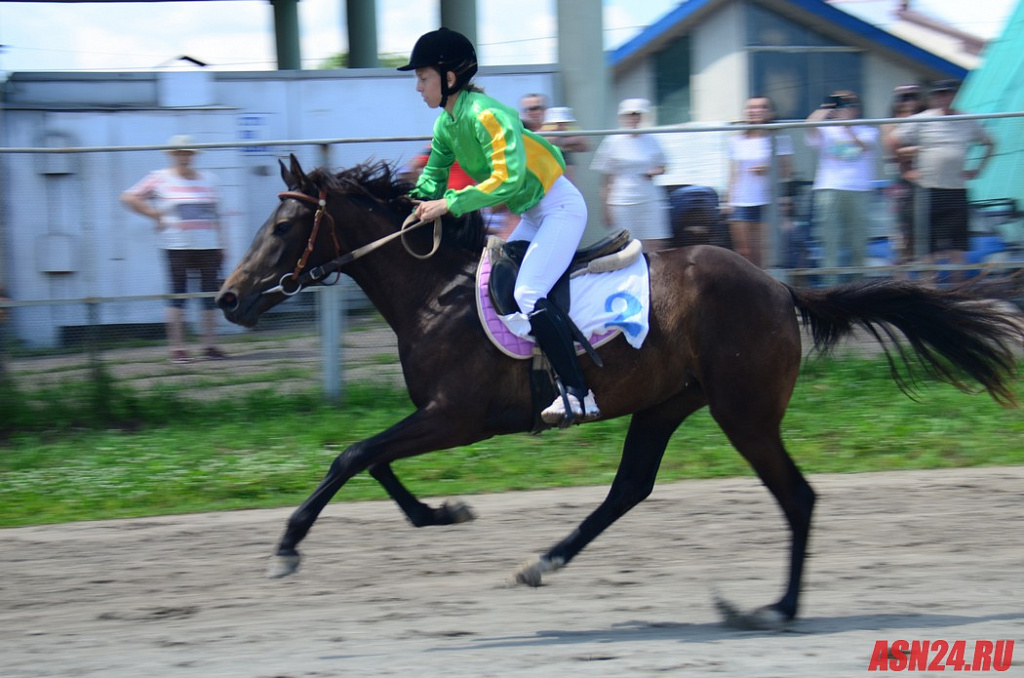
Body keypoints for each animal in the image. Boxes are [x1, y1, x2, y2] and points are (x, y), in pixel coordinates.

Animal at [214, 156, 1015, 630]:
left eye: (283, 225)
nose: (228, 297)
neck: (434, 292)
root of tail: (779, 286)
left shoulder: (459, 416)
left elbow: (352, 455)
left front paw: (286, 548)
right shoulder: (440, 416)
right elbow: (372, 459)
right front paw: (441, 514)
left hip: (744, 412)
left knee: (797, 496)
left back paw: (776, 607)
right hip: (668, 403)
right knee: (630, 487)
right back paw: (544, 561)